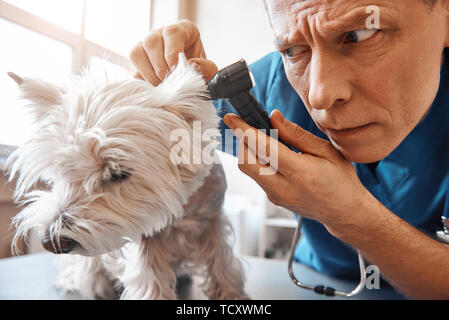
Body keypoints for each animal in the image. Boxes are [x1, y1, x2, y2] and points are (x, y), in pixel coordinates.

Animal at [5, 55, 247, 300]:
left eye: (117, 173)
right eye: (62, 170)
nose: (51, 242)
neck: (180, 212)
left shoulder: (213, 219)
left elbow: (221, 260)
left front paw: (231, 293)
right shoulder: (144, 237)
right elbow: (149, 279)